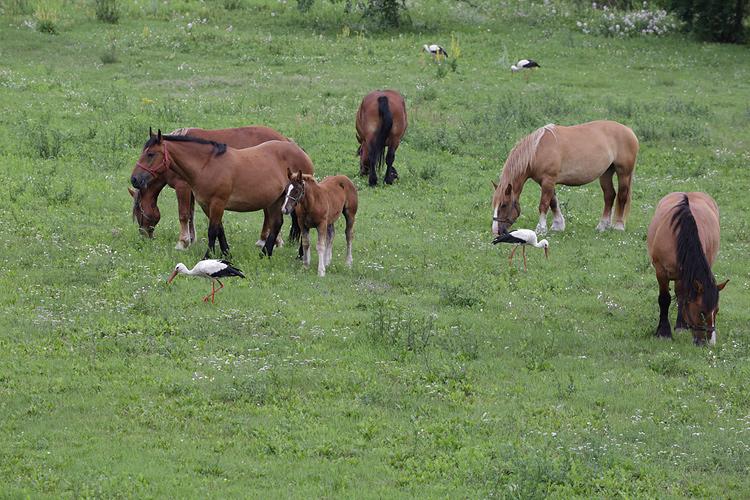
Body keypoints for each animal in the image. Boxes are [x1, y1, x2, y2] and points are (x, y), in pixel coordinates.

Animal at [132, 131, 314, 258]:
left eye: (150, 154)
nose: (134, 179)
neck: (206, 165)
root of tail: (299, 150)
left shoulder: (217, 203)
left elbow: (212, 230)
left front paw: (207, 256)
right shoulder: (206, 205)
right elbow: (219, 229)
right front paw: (227, 253)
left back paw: (299, 255)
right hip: (275, 200)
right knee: (276, 223)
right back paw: (265, 253)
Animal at [494, 121, 640, 238]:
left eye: (504, 205)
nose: (496, 231)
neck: (537, 151)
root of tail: (629, 131)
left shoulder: (548, 180)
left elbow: (544, 204)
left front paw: (541, 229)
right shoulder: (547, 182)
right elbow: (553, 202)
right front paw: (558, 225)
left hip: (624, 173)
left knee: (622, 196)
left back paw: (618, 226)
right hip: (606, 173)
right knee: (609, 196)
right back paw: (602, 226)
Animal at [648, 193, 732, 346]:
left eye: (716, 311)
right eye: (702, 312)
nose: (709, 343)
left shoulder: (684, 275)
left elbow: (683, 297)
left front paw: (681, 325)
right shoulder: (661, 271)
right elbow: (664, 299)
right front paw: (663, 332)